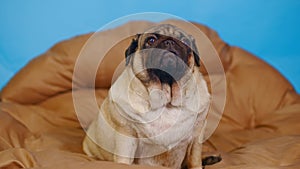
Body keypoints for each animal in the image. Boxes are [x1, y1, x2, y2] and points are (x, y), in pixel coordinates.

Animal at [82, 24, 211, 169]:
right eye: (151, 40)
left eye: (184, 41)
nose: (169, 41)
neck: (166, 100)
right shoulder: (127, 136)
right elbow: (123, 160)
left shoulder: (196, 136)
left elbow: (195, 160)